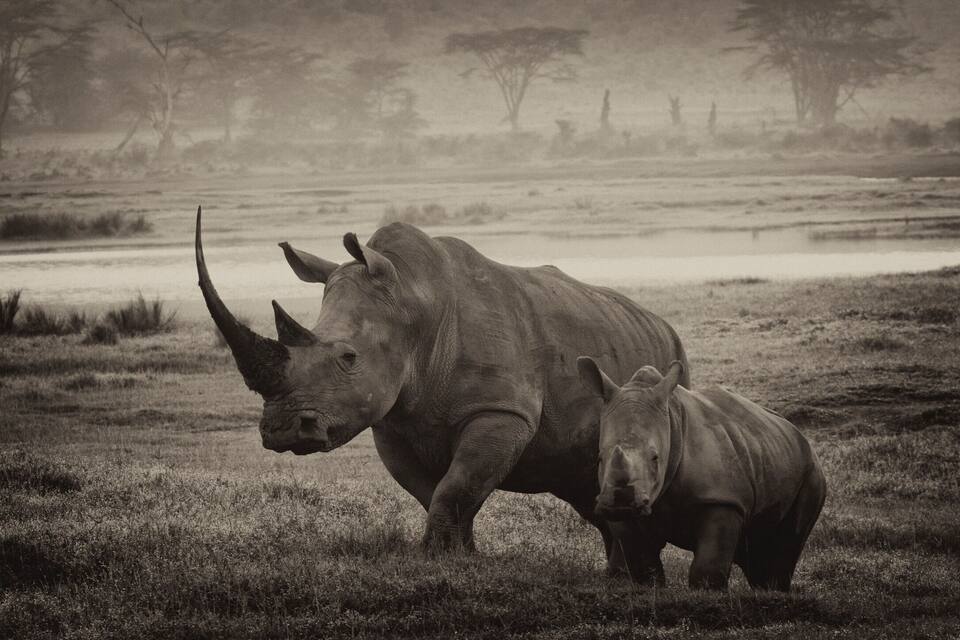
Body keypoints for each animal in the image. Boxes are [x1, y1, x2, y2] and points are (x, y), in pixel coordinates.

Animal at [195, 206, 690, 562]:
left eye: (349, 358)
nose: (281, 431)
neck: (414, 304)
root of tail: (664, 325)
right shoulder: (391, 420)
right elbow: (437, 490)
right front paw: (460, 558)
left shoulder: (501, 411)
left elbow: (459, 484)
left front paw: (438, 558)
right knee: (584, 489)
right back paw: (617, 576)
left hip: (671, 368)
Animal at [577, 357, 826, 590]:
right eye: (599, 458)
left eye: (655, 458)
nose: (621, 503)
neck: (672, 425)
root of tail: (799, 434)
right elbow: (642, 565)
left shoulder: (722, 499)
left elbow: (707, 569)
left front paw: (709, 591)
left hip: (812, 471)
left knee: (788, 542)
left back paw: (774, 589)